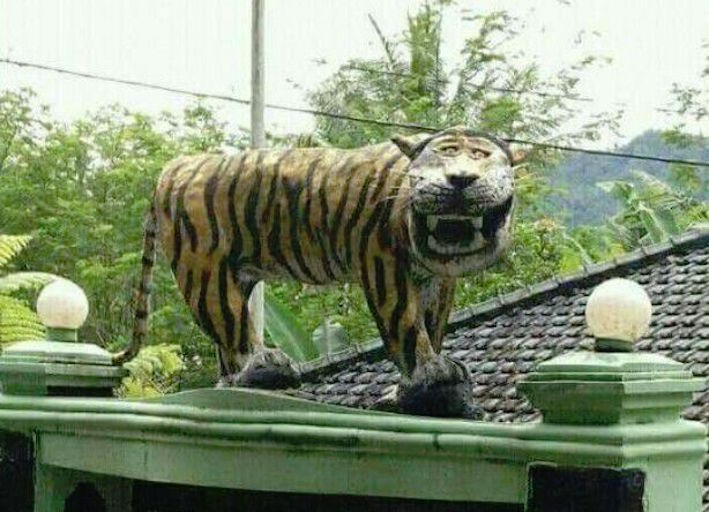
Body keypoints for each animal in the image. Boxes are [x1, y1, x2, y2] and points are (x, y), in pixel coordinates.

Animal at [114, 126, 528, 418]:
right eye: (444, 156)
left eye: (479, 155)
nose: (460, 179)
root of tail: (172, 167)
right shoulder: (384, 265)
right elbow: (407, 327)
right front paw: (432, 374)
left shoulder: (437, 280)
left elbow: (432, 325)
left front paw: (405, 392)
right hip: (205, 271)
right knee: (230, 328)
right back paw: (265, 368)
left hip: (234, 276)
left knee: (227, 343)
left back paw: (244, 378)